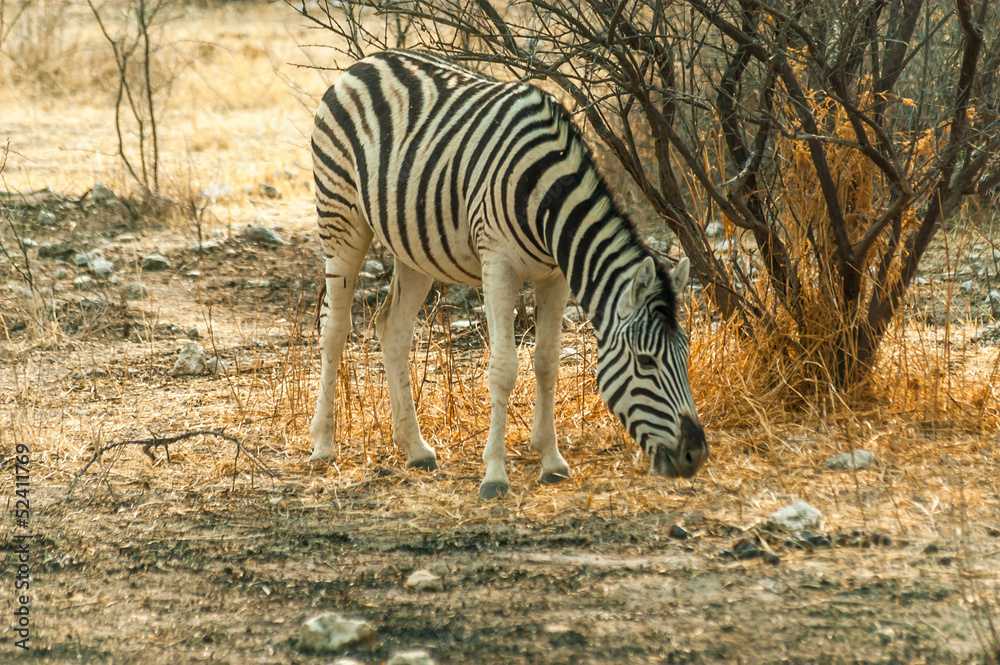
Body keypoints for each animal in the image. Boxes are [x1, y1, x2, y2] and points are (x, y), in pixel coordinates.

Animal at [308, 50, 707, 498]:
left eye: (684, 355)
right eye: (645, 362)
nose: (694, 455)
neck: (549, 200)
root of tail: (368, 61)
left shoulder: (556, 276)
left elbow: (547, 362)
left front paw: (551, 460)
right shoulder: (497, 264)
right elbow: (504, 369)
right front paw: (495, 474)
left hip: (413, 247)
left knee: (392, 329)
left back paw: (415, 448)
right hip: (341, 215)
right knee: (334, 328)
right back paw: (323, 445)